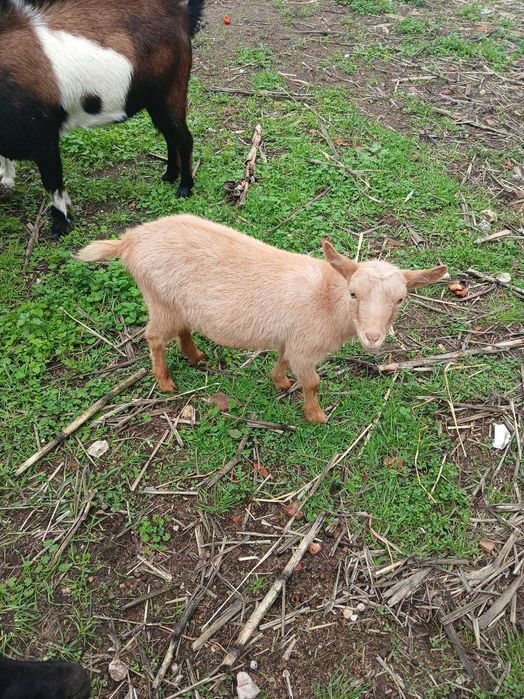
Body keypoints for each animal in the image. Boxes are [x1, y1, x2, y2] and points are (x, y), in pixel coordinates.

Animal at [0, 0, 204, 237]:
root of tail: (181, 15)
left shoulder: (43, 137)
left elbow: (52, 182)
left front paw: (62, 223)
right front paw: (7, 180)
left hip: (170, 92)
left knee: (183, 138)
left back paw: (185, 187)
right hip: (154, 100)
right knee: (170, 135)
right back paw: (170, 175)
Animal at [76, 215, 448, 423]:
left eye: (400, 299)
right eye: (354, 293)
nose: (373, 337)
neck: (328, 298)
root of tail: (129, 240)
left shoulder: (291, 339)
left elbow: (282, 358)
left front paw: (279, 381)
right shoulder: (305, 348)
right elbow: (312, 383)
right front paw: (316, 416)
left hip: (176, 303)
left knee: (183, 328)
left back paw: (195, 357)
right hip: (158, 298)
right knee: (154, 337)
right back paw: (165, 381)